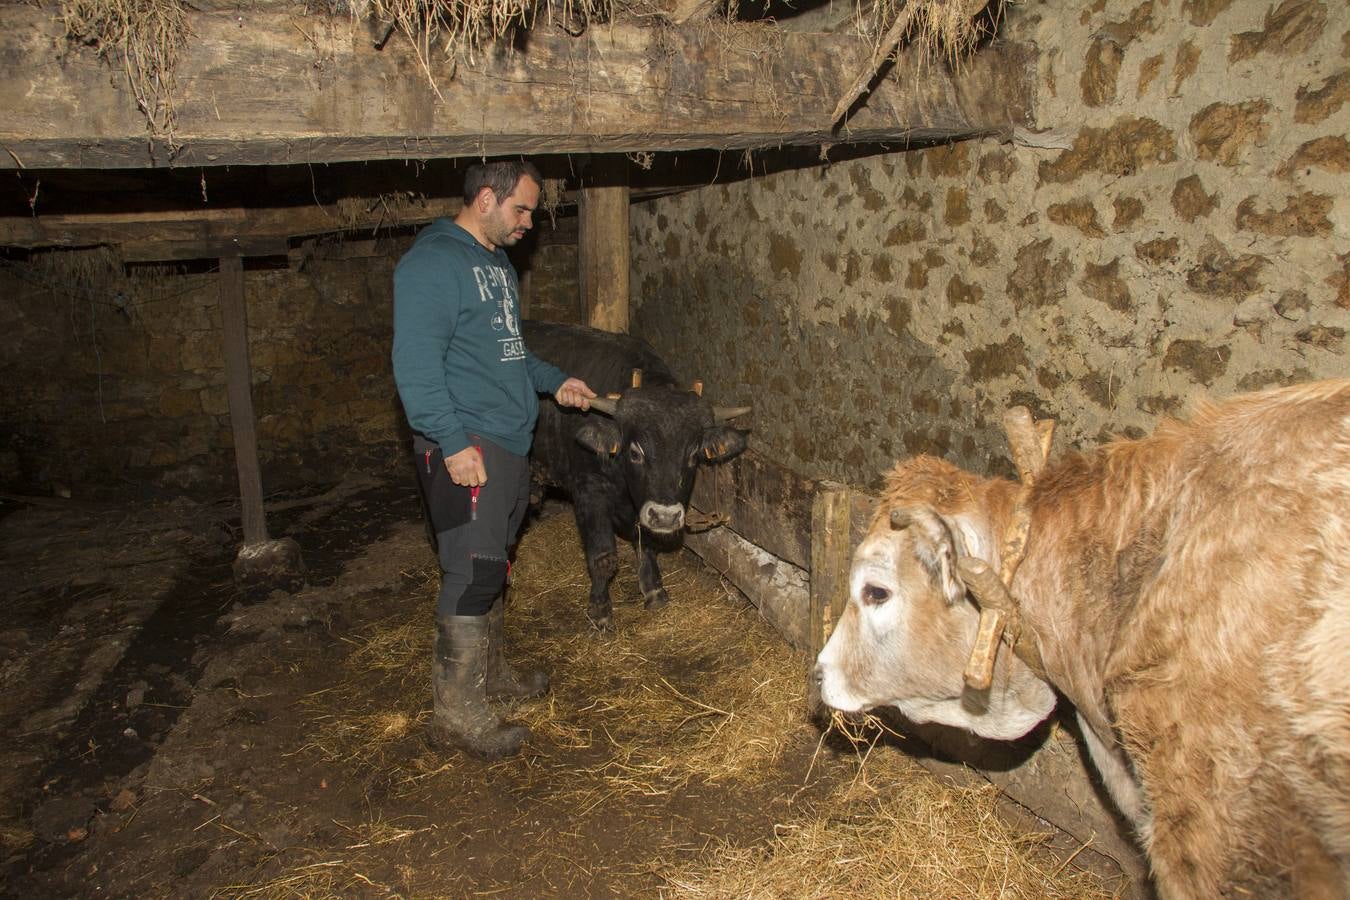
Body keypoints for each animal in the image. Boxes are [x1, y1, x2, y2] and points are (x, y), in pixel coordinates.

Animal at [521, 319, 750, 631]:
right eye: (635, 452)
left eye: (693, 456)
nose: (666, 517)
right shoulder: (588, 491)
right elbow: (603, 556)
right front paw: (600, 609)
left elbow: (646, 542)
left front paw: (653, 589)